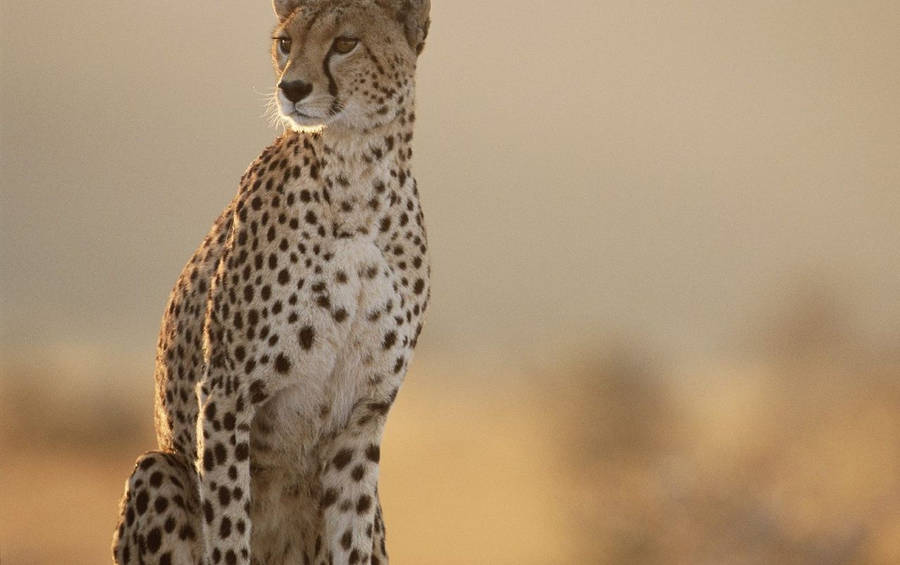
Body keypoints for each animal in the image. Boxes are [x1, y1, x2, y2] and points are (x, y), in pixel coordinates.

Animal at [111, 1, 431, 563]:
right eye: (285, 42)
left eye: (345, 43)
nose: (293, 88)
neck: (359, 179)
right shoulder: (226, 393)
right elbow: (229, 528)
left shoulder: (363, 418)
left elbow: (349, 534)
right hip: (158, 466)